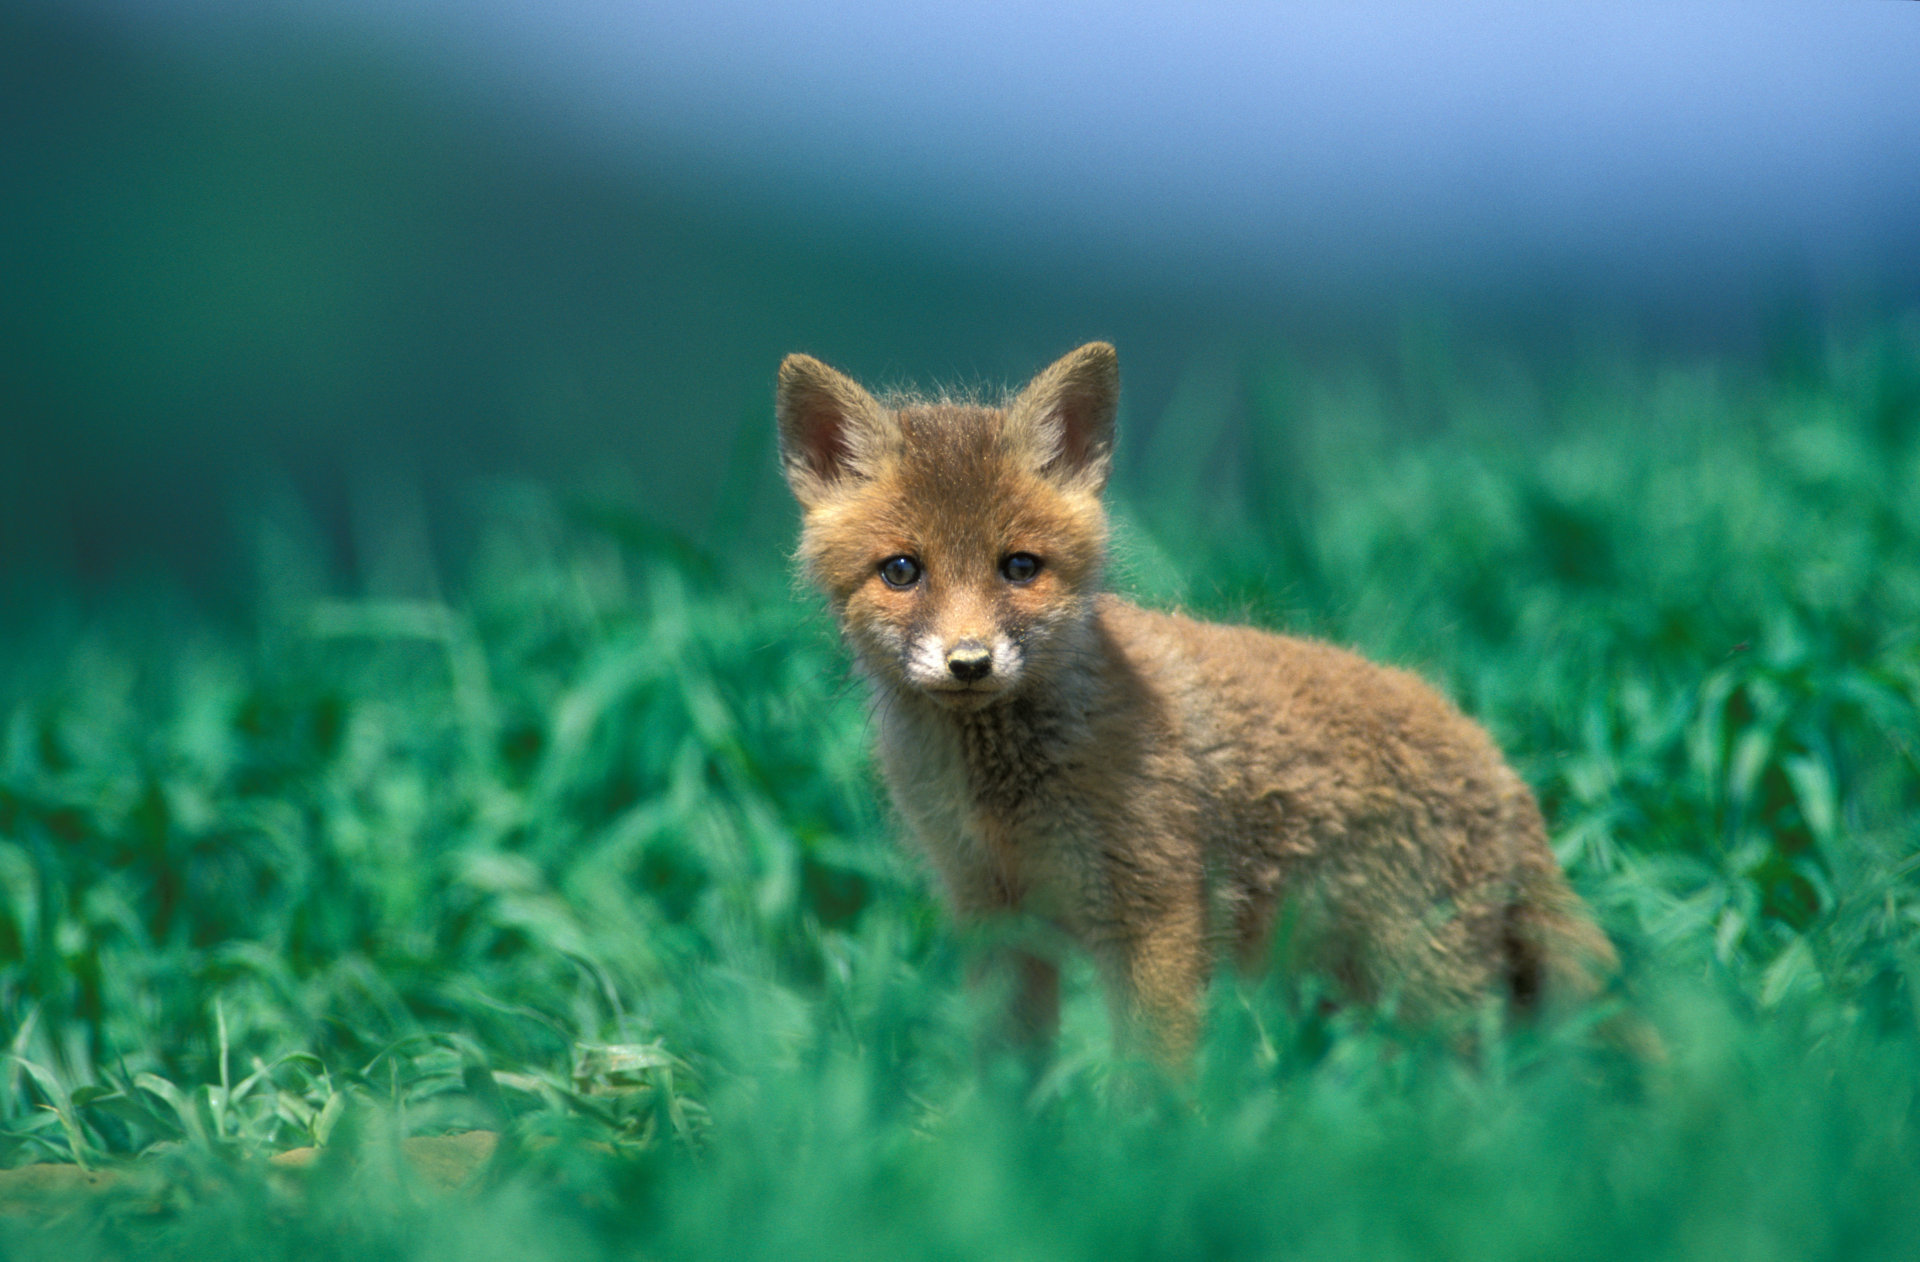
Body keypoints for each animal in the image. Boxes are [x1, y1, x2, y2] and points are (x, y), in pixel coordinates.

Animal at [779, 339, 1620, 1060]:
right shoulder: (993, 915)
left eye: (1019, 567)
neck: (1005, 799)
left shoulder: (1159, 915)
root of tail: (1500, 763)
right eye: (901, 571)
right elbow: (1009, 1076)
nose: (969, 663)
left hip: (1426, 991)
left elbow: (1153, 1078)